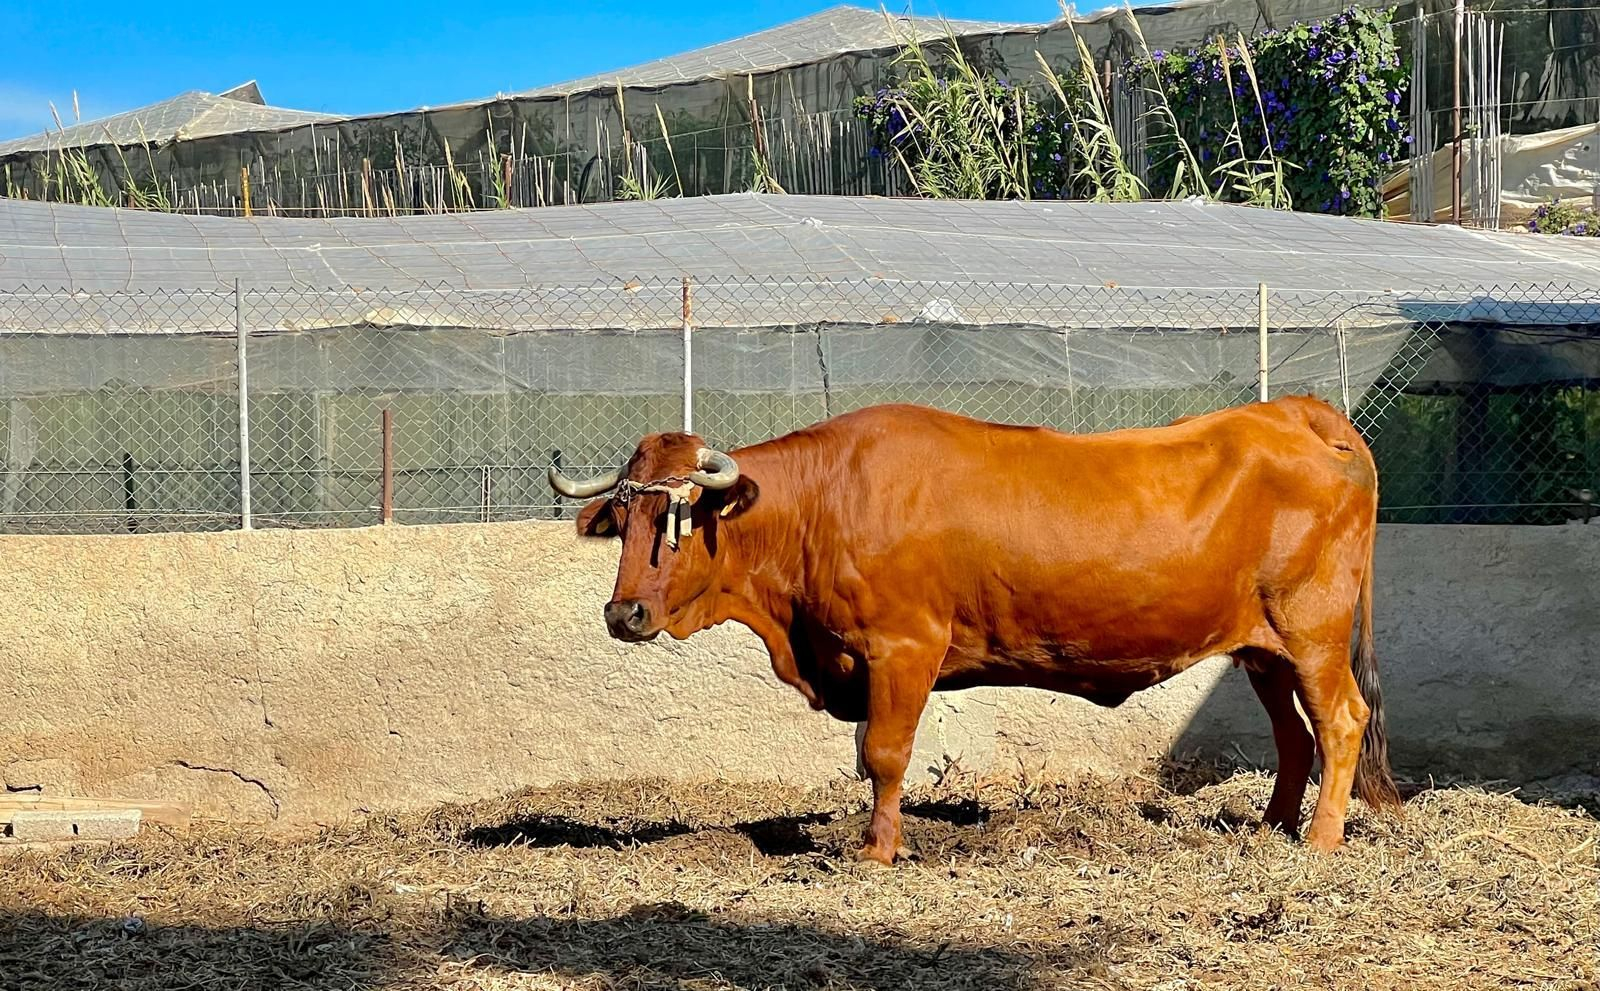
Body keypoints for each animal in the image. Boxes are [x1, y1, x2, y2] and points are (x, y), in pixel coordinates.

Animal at [547, 397, 1402, 864]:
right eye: (623, 516)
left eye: (679, 517)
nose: (624, 613)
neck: (828, 498)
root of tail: (1291, 411)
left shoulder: (904, 648)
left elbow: (883, 754)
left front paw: (876, 848)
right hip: (1264, 648)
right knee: (1294, 736)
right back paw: (1272, 825)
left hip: (1313, 633)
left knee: (1341, 720)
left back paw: (1320, 838)